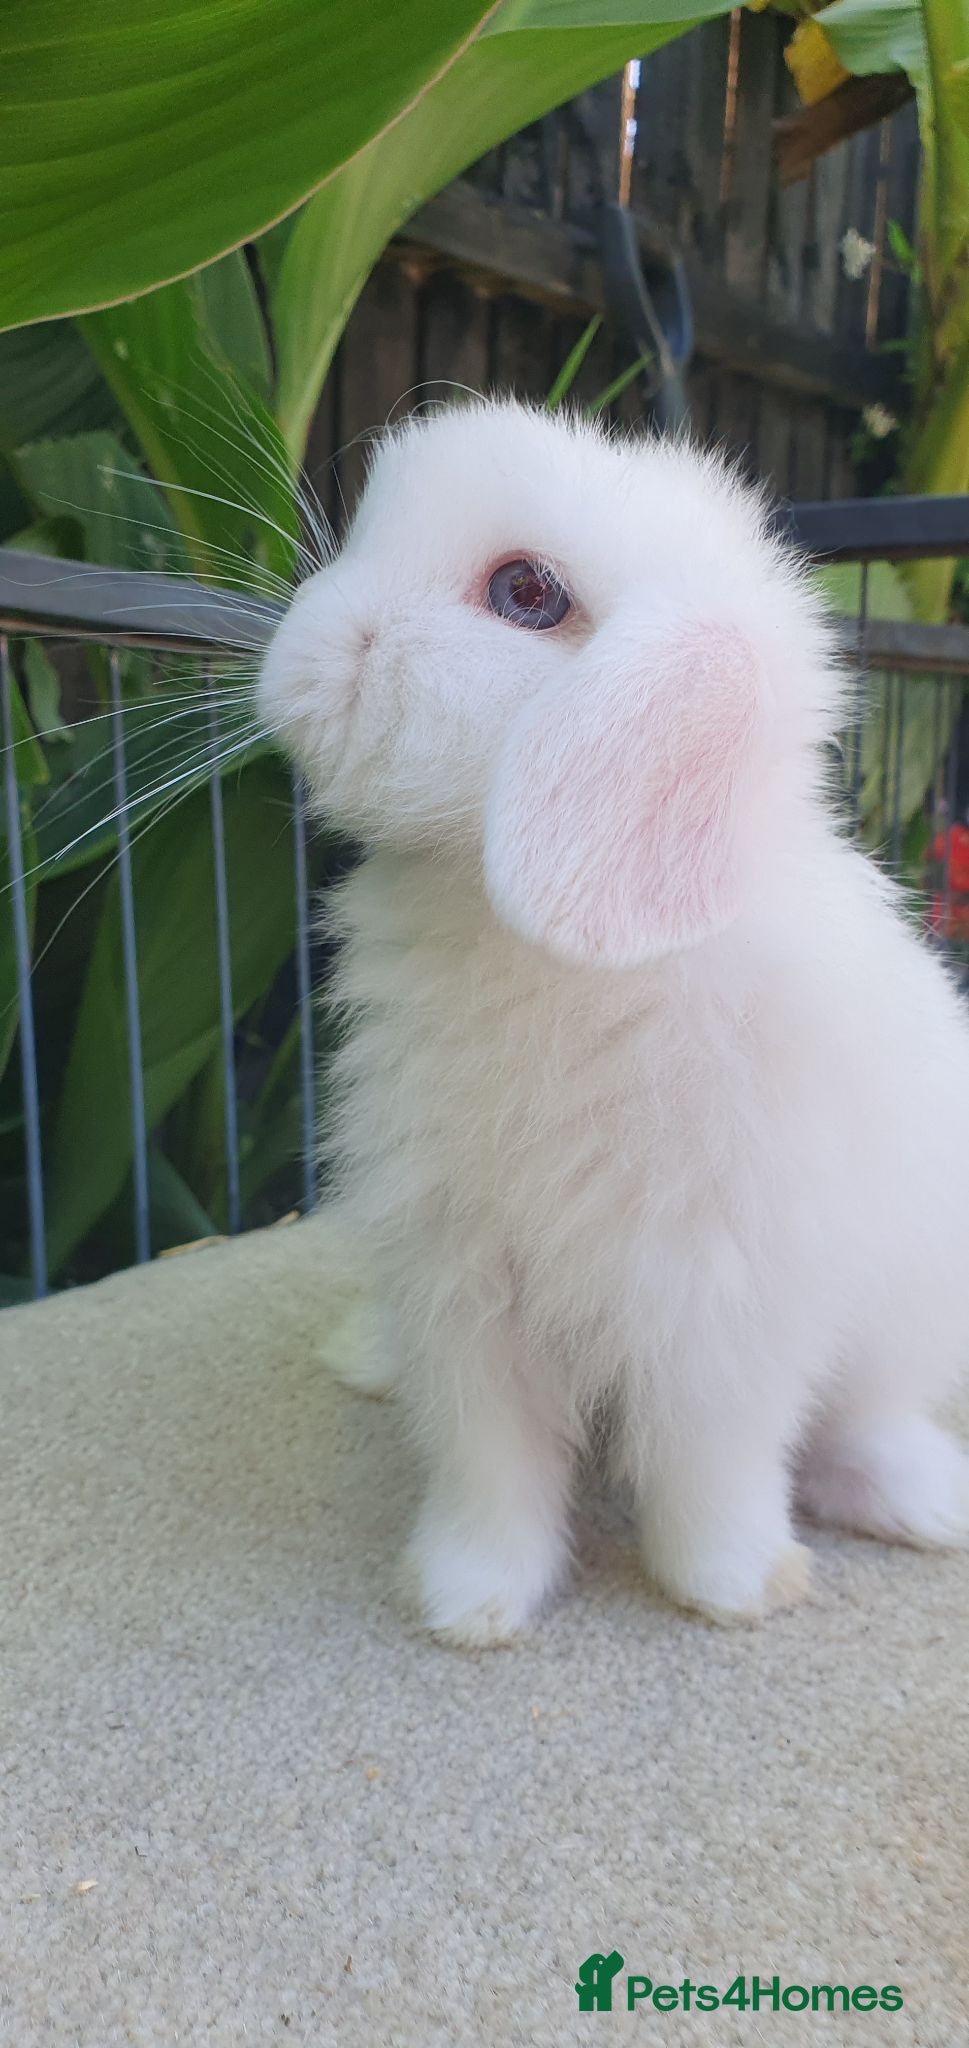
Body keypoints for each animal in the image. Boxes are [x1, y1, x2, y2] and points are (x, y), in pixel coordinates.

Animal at [258, 397, 969, 1646]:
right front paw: (470, 1603)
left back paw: (924, 1502)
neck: (544, 956)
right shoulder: (462, 1288)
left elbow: (713, 1462)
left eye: (525, 591)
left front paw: (730, 1586)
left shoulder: (724, 1302)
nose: (304, 651)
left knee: (868, 1418)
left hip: (916, 1301)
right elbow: (490, 1465)